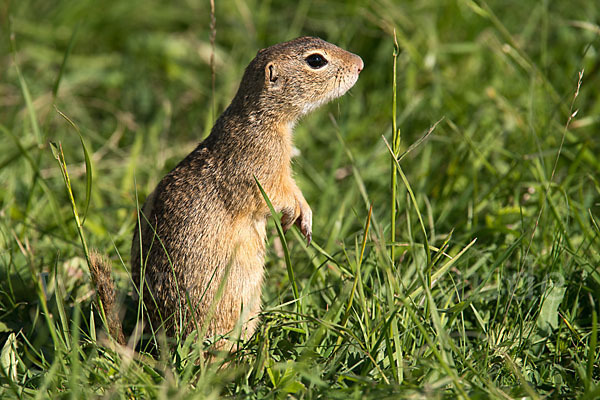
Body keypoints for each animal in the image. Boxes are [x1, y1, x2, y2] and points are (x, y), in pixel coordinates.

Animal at [93, 37, 360, 348]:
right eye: (316, 60)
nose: (360, 63)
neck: (259, 118)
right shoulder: (263, 170)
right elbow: (280, 195)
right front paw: (301, 215)